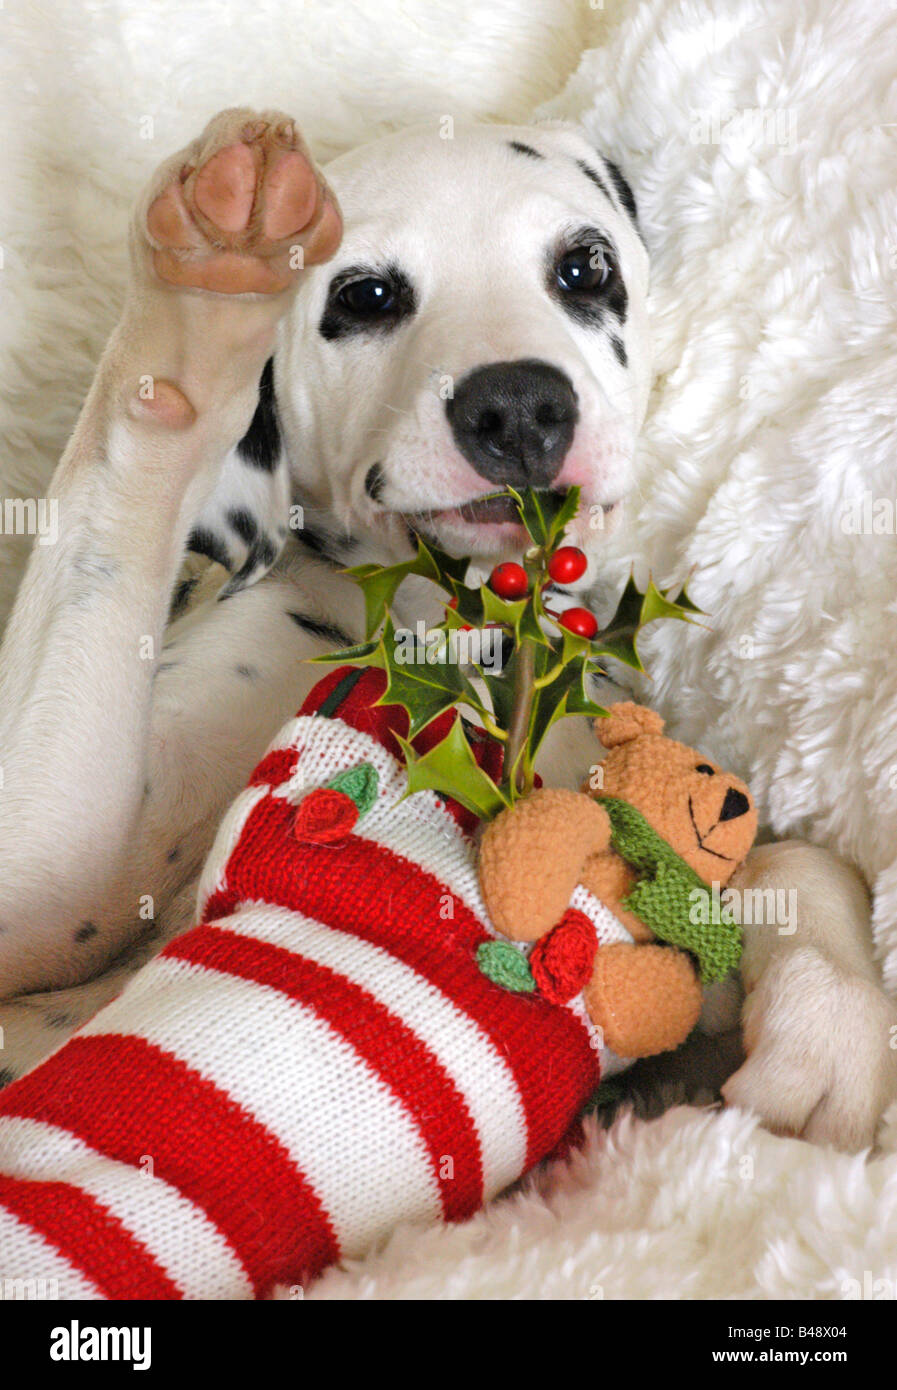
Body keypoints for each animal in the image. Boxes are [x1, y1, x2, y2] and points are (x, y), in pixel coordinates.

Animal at [0, 105, 890, 1150]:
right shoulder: (45, 887)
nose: (518, 406)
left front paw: (830, 1019)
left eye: (583, 269)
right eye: (368, 294)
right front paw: (202, 292)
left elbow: (786, 856)